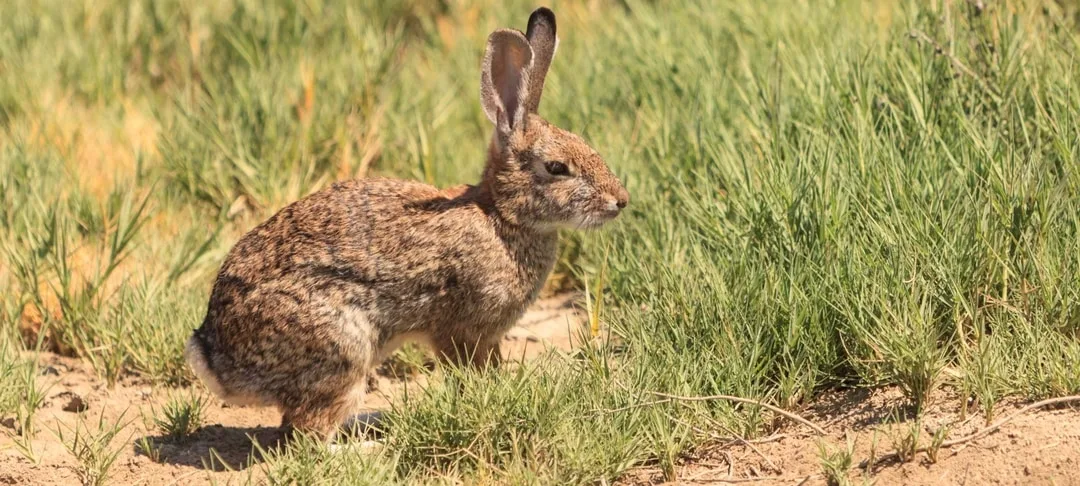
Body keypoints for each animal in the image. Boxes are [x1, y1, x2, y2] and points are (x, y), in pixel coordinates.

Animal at [184, 6, 629, 440]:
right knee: (306, 431)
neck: (501, 216)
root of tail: (215, 358)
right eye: (557, 168)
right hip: (343, 347)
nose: (620, 200)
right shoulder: (461, 331)